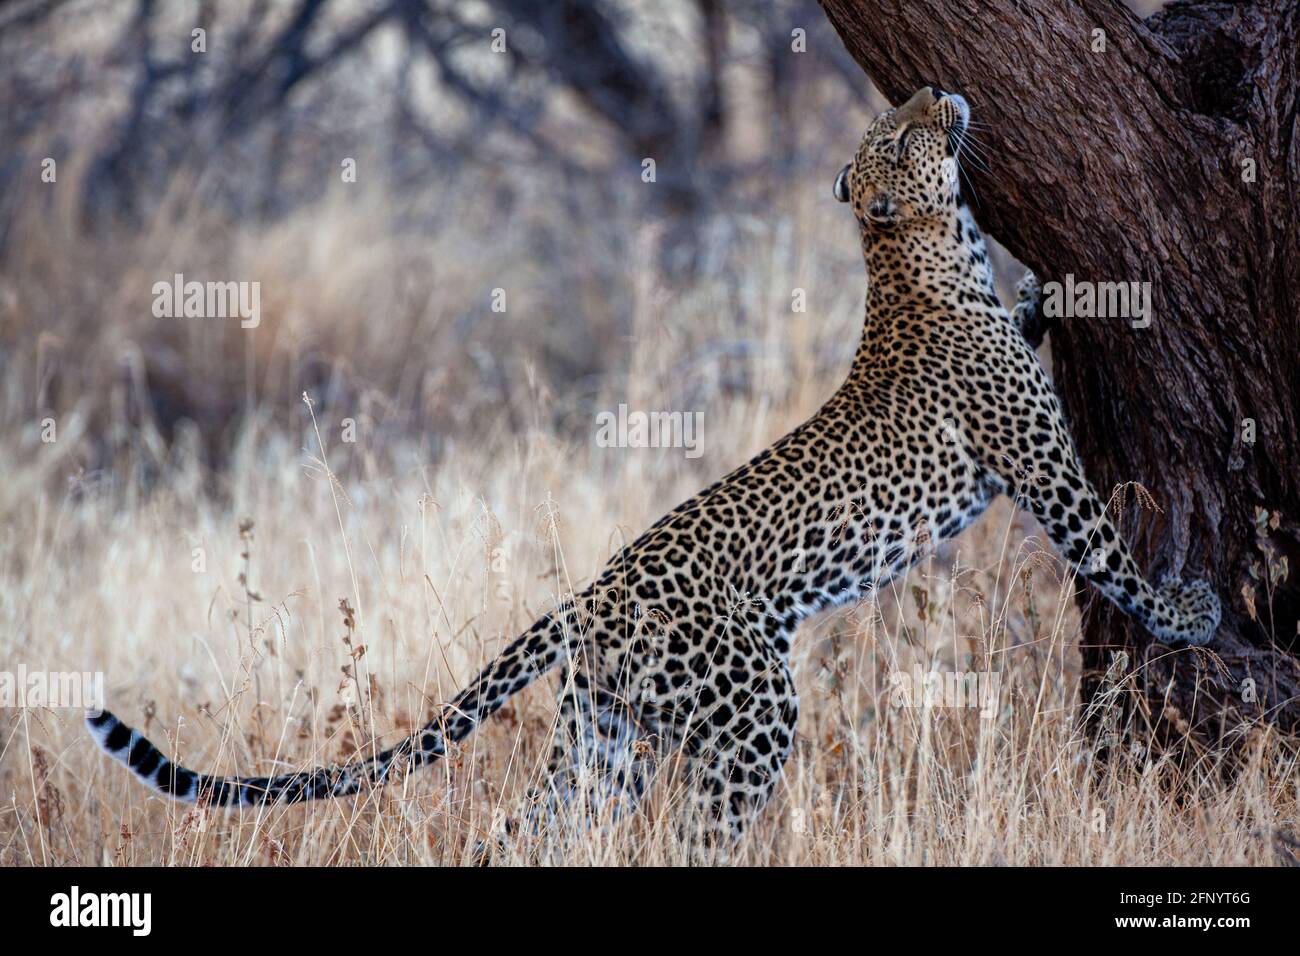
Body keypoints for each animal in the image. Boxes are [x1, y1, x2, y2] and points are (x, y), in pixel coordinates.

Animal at [89, 83, 1216, 858]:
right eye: (899, 133)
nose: (939, 88)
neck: (917, 259)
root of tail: (588, 595)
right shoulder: (1041, 466)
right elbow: (1109, 551)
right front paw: (1191, 610)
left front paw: (1047, 294)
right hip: (746, 708)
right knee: (697, 833)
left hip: (605, 739)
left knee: (526, 833)